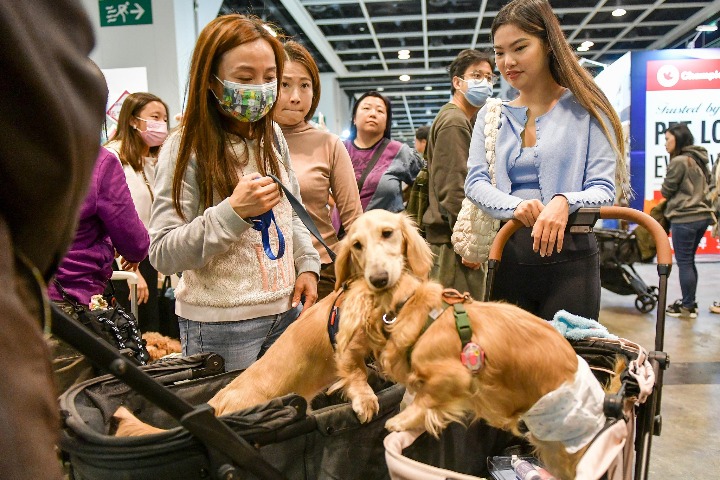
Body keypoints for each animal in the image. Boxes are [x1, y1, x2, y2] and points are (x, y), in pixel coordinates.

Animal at [112, 210, 434, 436]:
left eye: (388, 233)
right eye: (357, 245)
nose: (379, 277)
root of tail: (214, 407)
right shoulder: (344, 345)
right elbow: (356, 372)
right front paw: (366, 400)